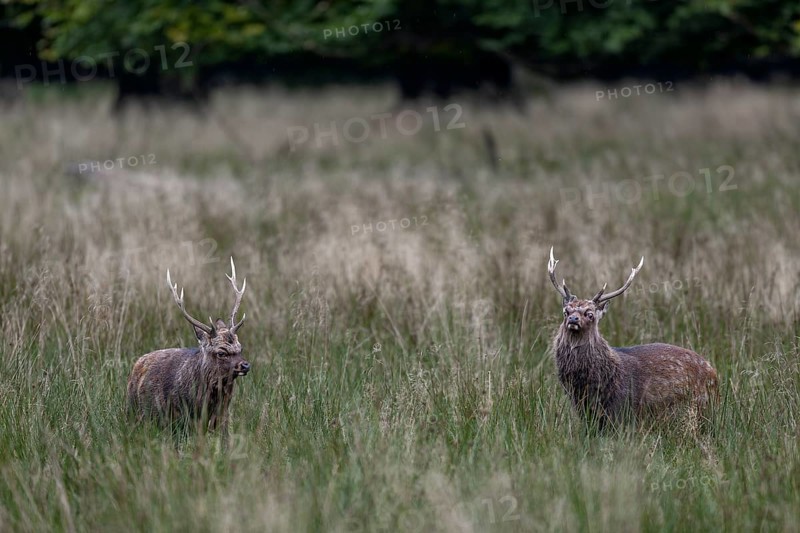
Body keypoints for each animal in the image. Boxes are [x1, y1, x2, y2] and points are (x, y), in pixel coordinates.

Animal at [127, 258, 250, 437]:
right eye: (221, 353)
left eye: (240, 348)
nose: (245, 365)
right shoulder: (179, 419)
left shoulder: (223, 418)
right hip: (134, 411)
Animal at [547, 247, 718, 430]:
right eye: (566, 311)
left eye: (590, 314)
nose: (573, 319)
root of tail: (714, 374)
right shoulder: (584, 410)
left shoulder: (621, 410)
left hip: (700, 407)